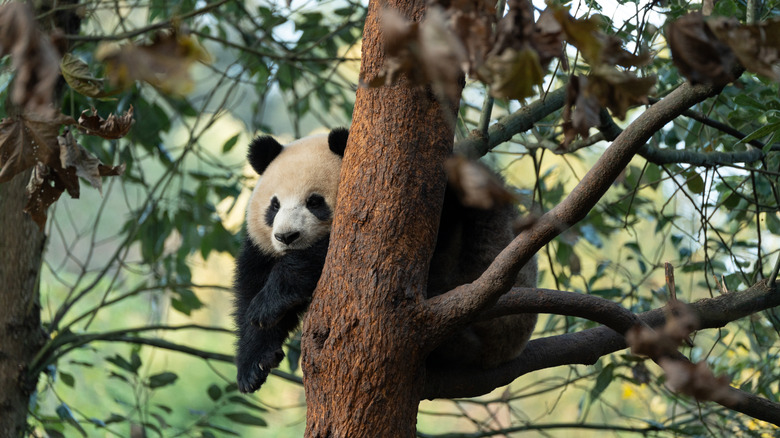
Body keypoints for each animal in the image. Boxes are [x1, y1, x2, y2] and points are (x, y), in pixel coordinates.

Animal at [234, 128, 536, 393]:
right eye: (274, 205)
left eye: (315, 202)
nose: (287, 236)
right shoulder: (262, 249)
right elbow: (251, 285)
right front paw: (254, 364)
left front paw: (270, 300)